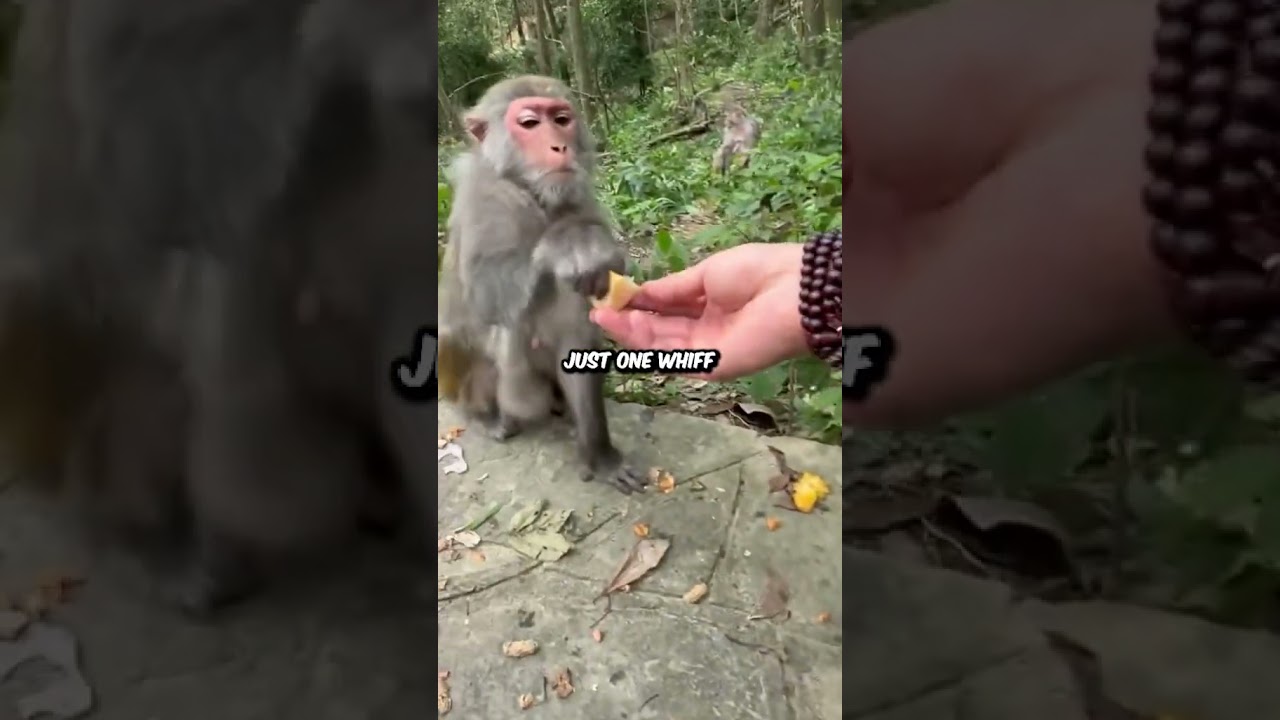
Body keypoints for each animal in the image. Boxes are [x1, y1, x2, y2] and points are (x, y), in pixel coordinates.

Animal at [439, 75, 647, 496]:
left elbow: (576, 335)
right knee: (506, 327)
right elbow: (485, 297)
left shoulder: (581, 200)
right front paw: (567, 245)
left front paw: (601, 455)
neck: (532, 194)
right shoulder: (484, 201)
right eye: (530, 123)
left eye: (561, 119)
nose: (559, 146)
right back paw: (497, 414)